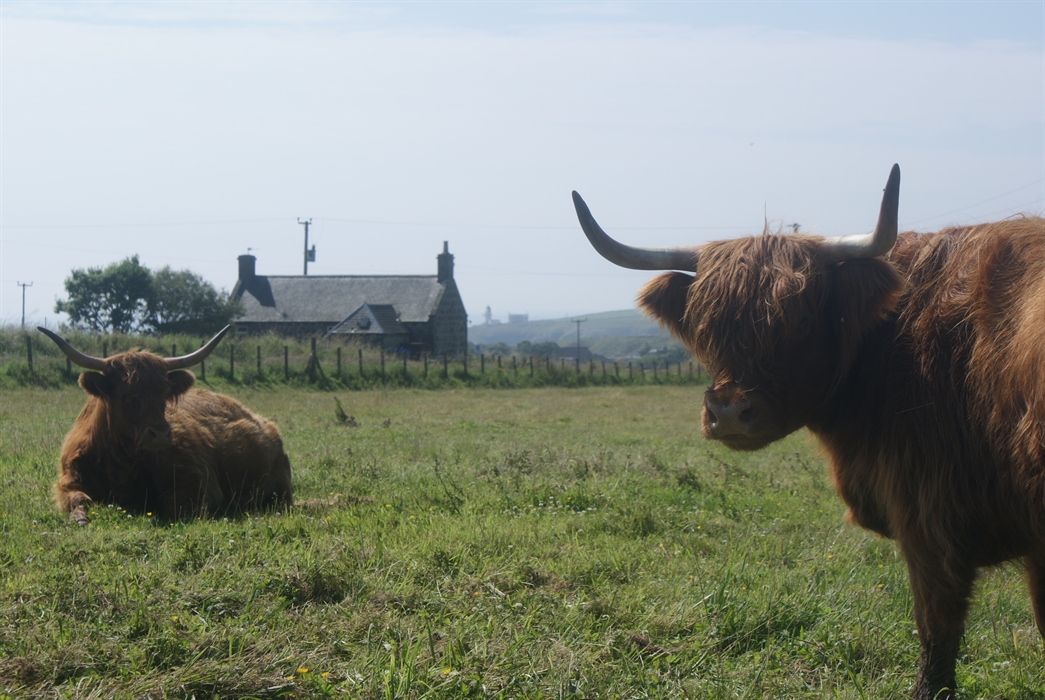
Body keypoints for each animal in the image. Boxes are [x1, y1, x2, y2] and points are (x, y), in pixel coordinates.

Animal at [40, 326, 293, 525]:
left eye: (164, 394)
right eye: (126, 394)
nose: (160, 434)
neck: (122, 463)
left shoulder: (199, 482)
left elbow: (172, 507)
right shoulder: (69, 478)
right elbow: (77, 498)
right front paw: (79, 519)